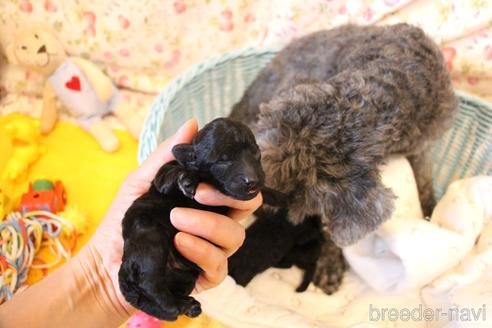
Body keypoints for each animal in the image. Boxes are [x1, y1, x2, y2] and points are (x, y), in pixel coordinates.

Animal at [117, 118, 278, 320]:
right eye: (223, 160)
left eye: (256, 153)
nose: (252, 181)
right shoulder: (162, 175)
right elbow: (170, 173)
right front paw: (186, 180)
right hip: (150, 241)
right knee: (149, 282)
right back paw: (173, 306)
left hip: (185, 277)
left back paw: (186, 306)